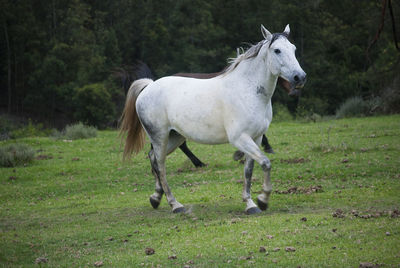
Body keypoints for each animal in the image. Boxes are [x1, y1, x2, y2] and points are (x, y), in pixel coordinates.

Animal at [119, 24, 306, 215]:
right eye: (277, 50)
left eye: (293, 49)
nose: (300, 77)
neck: (247, 90)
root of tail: (148, 86)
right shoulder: (240, 138)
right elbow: (266, 163)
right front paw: (262, 201)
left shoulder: (256, 138)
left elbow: (249, 170)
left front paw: (251, 204)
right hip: (160, 137)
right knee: (161, 166)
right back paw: (175, 204)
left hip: (175, 137)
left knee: (153, 159)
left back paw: (156, 198)